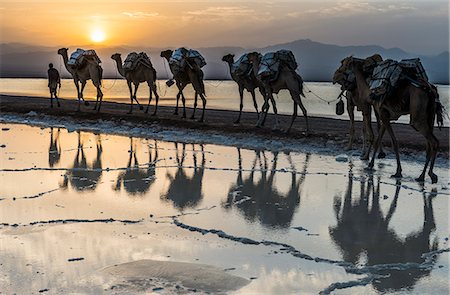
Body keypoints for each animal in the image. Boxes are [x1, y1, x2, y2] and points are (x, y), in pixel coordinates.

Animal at [342, 56, 442, 184]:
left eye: (347, 65)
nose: (343, 81)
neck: (370, 92)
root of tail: (430, 89)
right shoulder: (385, 115)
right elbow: (378, 140)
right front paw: (370, 165)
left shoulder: (383, 114)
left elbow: (394, 142)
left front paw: (398, 171)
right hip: (430, 116)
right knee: (429, 144)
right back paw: (423, 176)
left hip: (417, 115)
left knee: (433, 141)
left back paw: (430, 175)